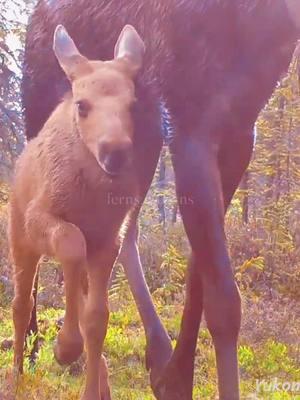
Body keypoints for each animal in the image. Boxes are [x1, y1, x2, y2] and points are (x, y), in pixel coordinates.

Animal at [8, 23, 145, 398]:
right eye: (82, 105)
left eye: (132, 104)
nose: (115, 153)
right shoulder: (43, 219)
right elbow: (70, 242)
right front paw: (66, 347)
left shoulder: (108, 241)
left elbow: (97, 318)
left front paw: (93, 390)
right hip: (19, 239)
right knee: (21, 305)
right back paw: (17, 378)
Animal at [22, 0, 298, 400]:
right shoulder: (191, 124)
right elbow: (224, 300)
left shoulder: (240, 132)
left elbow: (200, 275)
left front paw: (175, 377)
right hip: (47, 116)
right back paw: (32, 349)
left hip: (138, 138)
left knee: (122, 233)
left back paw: (145, 355)